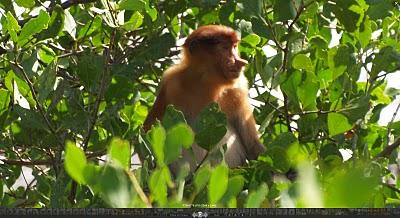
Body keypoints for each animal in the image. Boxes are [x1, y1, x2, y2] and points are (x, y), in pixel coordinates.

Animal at [144, 25, 266, 172]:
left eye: (234, 46)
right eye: (225, 48)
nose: (240, 62)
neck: (205, 82)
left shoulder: (238, 90)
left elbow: (252, 145)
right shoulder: (171, 82)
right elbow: (148, 129)